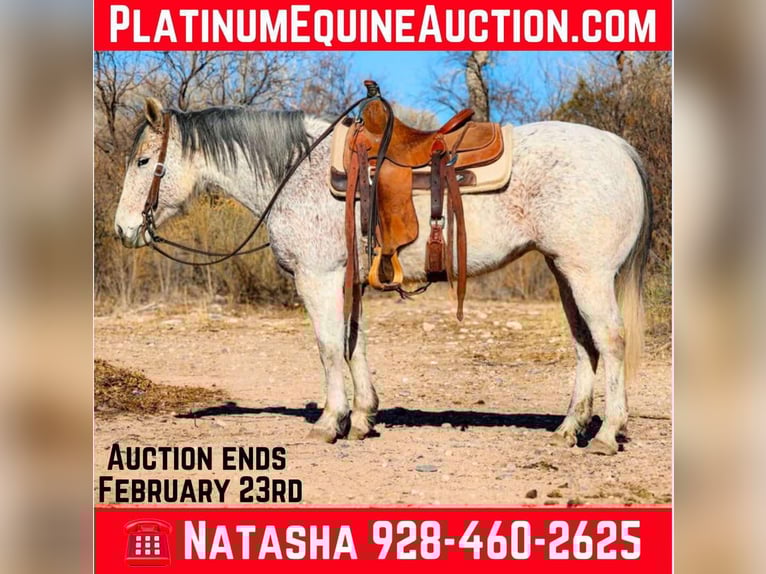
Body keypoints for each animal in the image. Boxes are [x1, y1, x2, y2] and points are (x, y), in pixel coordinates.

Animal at [114, 97, 652, 455]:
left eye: (143, 161)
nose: (122, 229)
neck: (298, 170)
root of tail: (619, 148)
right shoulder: (347, 281)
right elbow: (354, 345)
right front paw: (363, 418)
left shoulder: (317, 277)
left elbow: (329, 347)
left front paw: (330, 421)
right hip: (564, 271)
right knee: (584, 345)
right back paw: (569, 428)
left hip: (588, 275)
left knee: (610, 341)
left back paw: (607, 434)